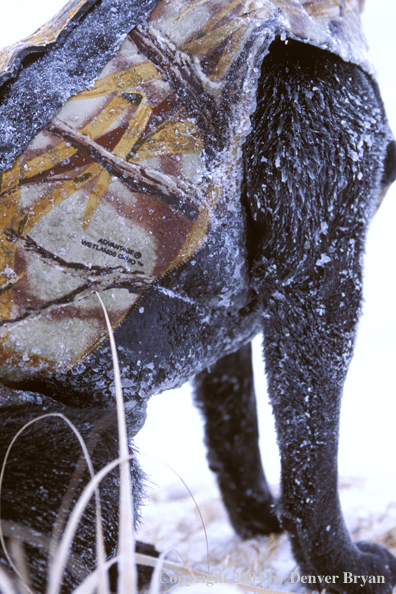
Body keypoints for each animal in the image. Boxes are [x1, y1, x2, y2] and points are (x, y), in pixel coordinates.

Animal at [0, 2, 396, 588]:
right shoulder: (319, 271)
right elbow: (312, 459)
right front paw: (338, 567)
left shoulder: (219, 298)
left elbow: (235, 429)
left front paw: (261, 521)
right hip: (78, 442)